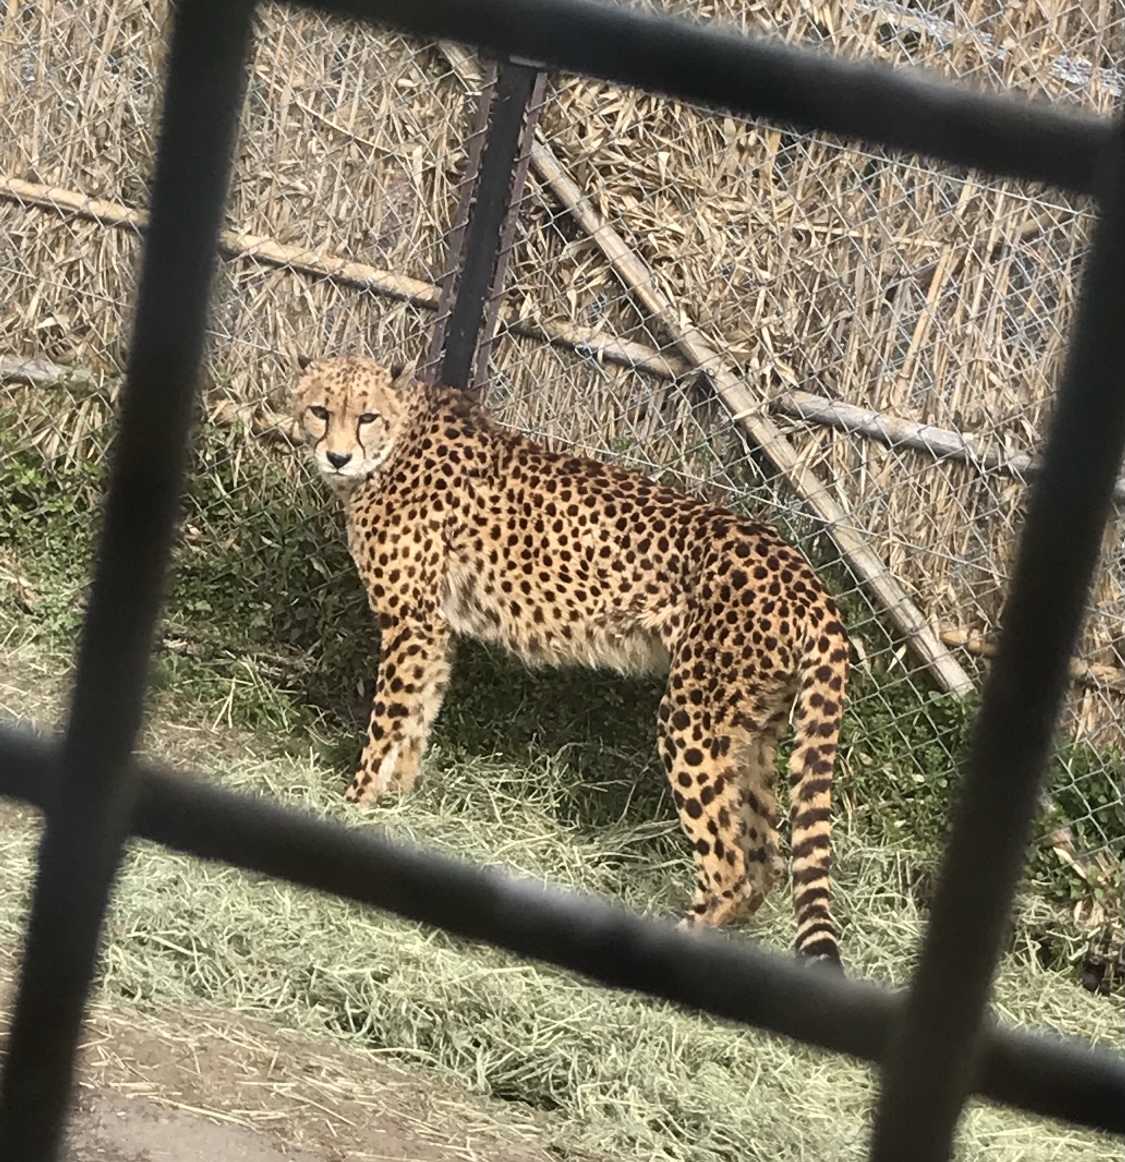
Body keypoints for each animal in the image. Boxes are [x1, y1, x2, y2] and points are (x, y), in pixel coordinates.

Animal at [294, 355, 846, 962]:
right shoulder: (434, 629)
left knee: (730, 864)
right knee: (765, 860)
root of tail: (808, 581)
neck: (397, 440)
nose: (337, 456)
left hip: (693, 720)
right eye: (319, 411)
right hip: (752, 732)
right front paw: (396, 803)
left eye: (366, 416)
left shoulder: (410, 622)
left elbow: (388, 722)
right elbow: (416, 717)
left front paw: (352, 804)